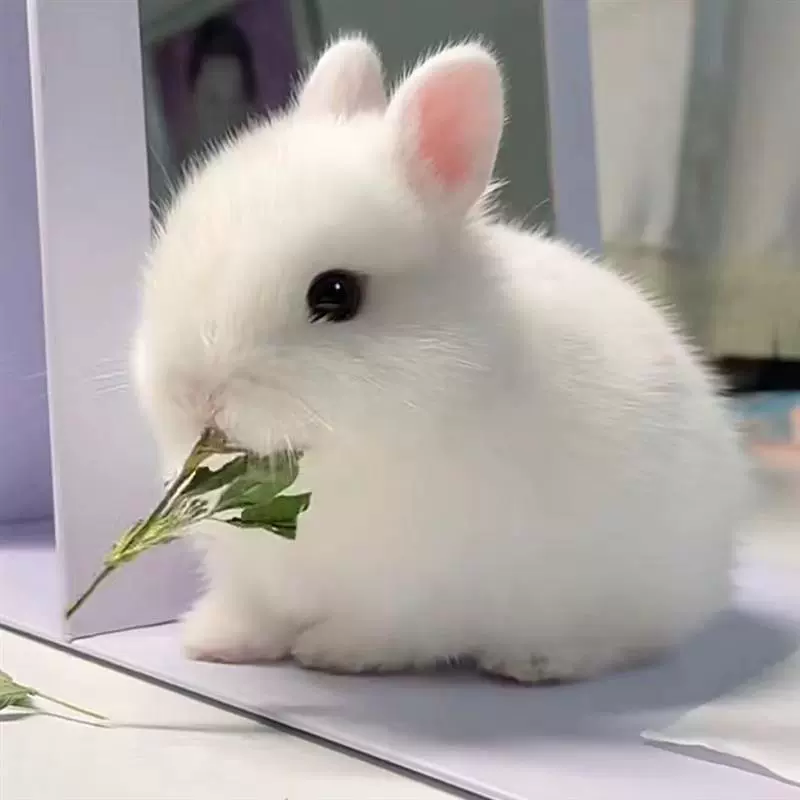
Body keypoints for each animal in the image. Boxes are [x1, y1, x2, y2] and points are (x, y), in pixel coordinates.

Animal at [132, 35, 750, 683]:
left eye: (336, 294)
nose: (190, 393)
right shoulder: (256, 583)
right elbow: (256, 614)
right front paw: (212, 641)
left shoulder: (419, 591)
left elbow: (395, 632)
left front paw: (333, 652)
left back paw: (533, 661)